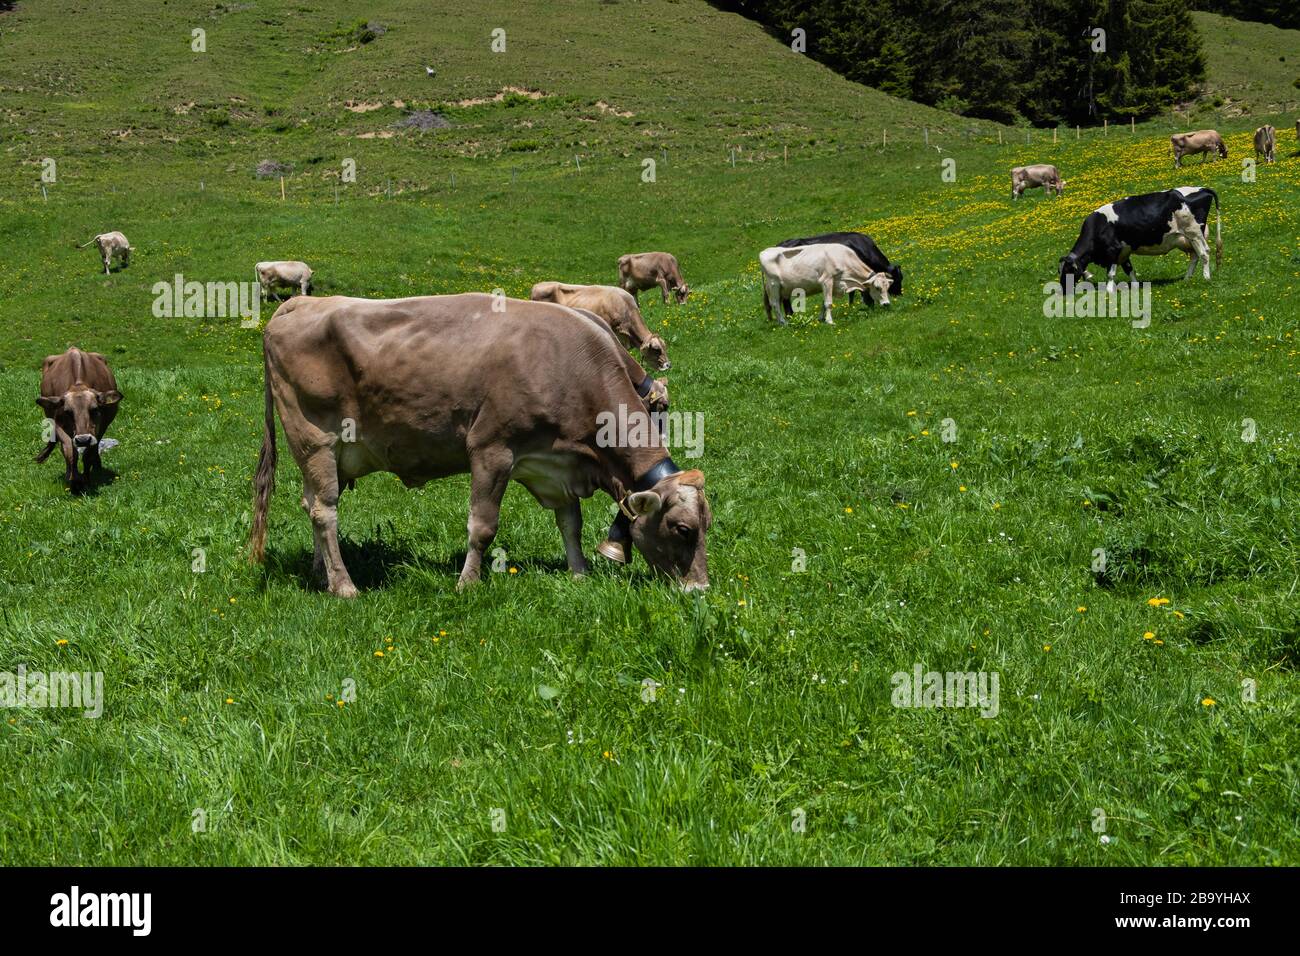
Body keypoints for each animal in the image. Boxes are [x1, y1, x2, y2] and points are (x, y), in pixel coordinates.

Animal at [35, 347, 122, 491]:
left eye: (94, 409)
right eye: (67, 412)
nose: (83, 440)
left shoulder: (100, 427)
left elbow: (88, 454)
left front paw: (86, 480)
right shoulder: (58, 423)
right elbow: (70, 452)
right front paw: (74, 480)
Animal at [248, 293, 711, 595]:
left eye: (708, 525)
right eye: (682, 528)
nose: (700, 590)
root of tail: (300, 303)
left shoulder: (556, 465)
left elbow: (570, 523)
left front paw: (579, 573)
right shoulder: (492, 450)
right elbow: (483, 526)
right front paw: (468, 584)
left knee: (311, 505)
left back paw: (322, 575)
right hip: (314, 439)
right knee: (325, 512)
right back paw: (345, 587)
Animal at [759, 243, 892, 325]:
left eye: (887, 287)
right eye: (877, 287)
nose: (887, 304)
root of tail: (764, 251)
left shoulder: (833, 284)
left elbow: (824, 303)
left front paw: (821, 318)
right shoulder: (826, 280)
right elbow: (829, 303)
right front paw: (830, 321)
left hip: (781, 289)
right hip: (773, 285)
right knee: (775, 304)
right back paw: (784, 323)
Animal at [1058, 186, 1221, 293]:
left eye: (1067, 270)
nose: (1063, 289)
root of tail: (1202, 188)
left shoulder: (1113, 250)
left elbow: (1111, 273)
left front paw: (1109, 291)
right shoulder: (1124, 251)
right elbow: (1129, 269)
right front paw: (1136, 286)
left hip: (1194, 232)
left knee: (1204, 253)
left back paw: (1206, 277)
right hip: (1187, 238)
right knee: (1195, 256)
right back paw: (1187, 278)